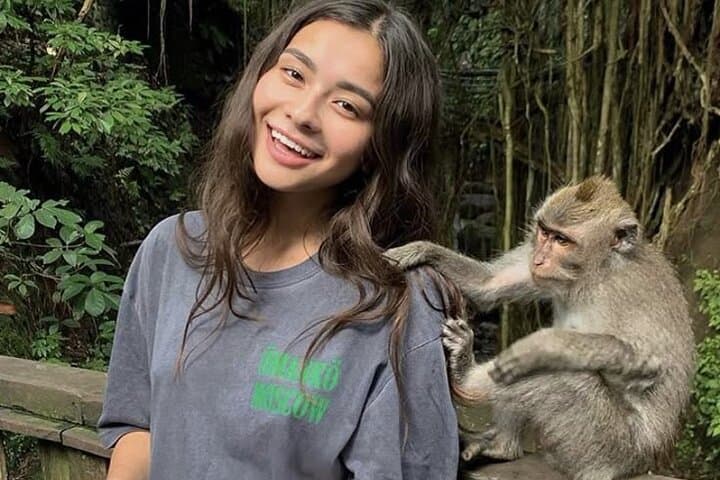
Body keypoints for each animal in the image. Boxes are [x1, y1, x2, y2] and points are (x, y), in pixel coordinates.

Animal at [385, 176, 695, 480]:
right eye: (545, 232)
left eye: (562, 240)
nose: (538, 259)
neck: (594, 274)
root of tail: (643, 462)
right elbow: (489, 283)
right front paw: (419, 250)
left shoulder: (626, 291)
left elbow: (647, 362)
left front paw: (539, 345)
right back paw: (502, 445)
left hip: (612, 448)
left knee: (554, 374)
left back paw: (467, 377)